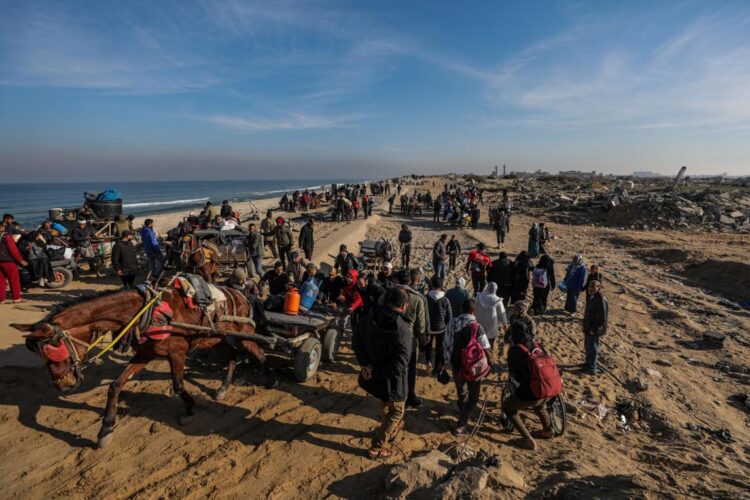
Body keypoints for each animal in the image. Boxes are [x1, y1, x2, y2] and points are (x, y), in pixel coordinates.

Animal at [9, 290, 276, 450]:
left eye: (54, 347)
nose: (63, 385)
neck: (142, 313)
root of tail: (243, 294)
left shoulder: (177, 353)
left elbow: (178, 386)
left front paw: (189, 409)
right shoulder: (144, 354)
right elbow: (115, 385)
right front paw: (106, 428)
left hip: (241, 334)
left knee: (260, 352)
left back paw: (271, 380)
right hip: (215, 337)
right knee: (232, 354)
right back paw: (223, 387)